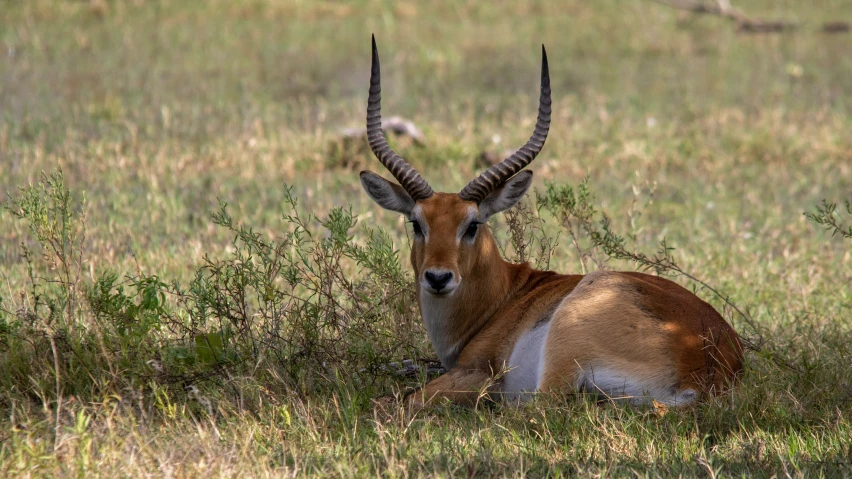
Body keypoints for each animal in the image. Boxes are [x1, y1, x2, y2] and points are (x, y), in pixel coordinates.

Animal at [356, 35, 744, 406]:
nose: (438, 278)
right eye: (416, 223)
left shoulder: (479, 373)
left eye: (472, 224)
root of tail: (706, 372)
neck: (503, 300)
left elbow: (399, 401)